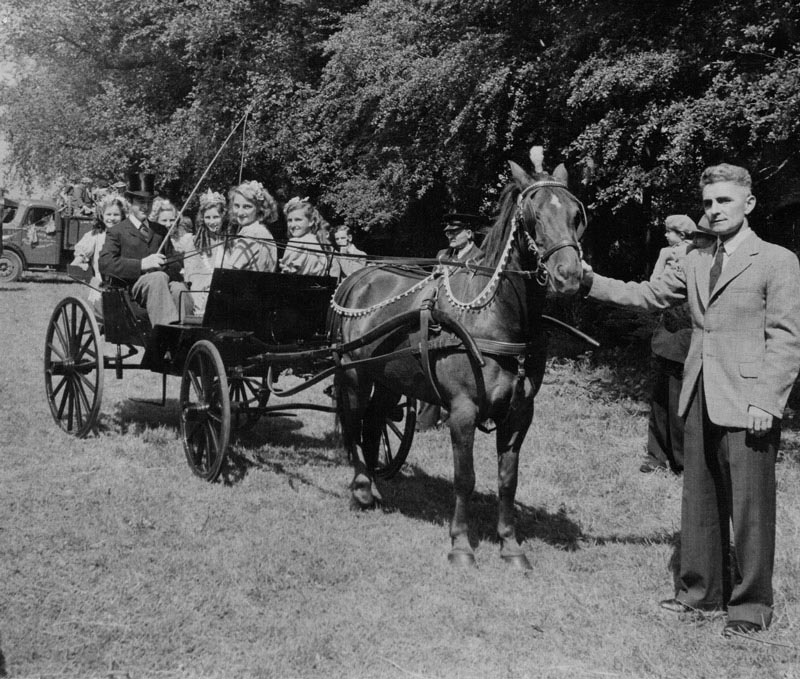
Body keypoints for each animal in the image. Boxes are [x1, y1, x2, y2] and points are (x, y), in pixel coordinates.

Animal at [328, 159, 584, 568]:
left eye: (576, 215)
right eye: (534, 217)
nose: (569, 275)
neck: (492, 314)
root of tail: (358, 276)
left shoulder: (519, 414)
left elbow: (507, 480)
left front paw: (510, 545)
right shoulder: (463, 410)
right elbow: (465, 478)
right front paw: (461, 545)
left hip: (389, 381)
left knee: (373, 424)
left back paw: (374, 489)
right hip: (353, 374)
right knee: (353, 424)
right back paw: (360, 489)